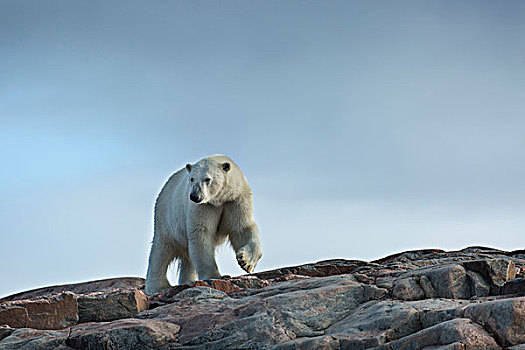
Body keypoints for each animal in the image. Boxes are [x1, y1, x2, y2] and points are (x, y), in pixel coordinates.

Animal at [144, 154, 260, 294]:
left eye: (207, 179)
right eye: (192, 179)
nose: (194, 196)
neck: (220, 199)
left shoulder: (236, 199)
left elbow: (242, 229)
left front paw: (245, 261)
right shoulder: (204, 206)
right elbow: (201, 233)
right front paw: (215, 276)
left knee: (187, 258)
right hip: (166, 218)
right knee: (161, 250)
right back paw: (158, 287)